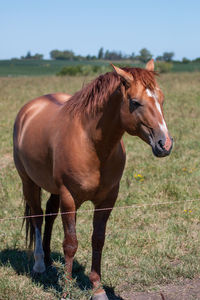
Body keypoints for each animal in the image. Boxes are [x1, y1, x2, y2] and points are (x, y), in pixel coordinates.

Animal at [12, 59, 172, 300]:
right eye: (135, 102)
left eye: (161, 99)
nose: (165, 144)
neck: (91, 143)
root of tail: (29, 109)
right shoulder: (69, 198)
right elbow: (70, 243)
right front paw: (66, 289)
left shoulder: (107, 200)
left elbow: (98, 240)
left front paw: (97, 288)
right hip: (28, 182)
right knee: (37, 217)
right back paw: (39, 265)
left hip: (53, 189)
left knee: (49, 215)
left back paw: (48, 260)